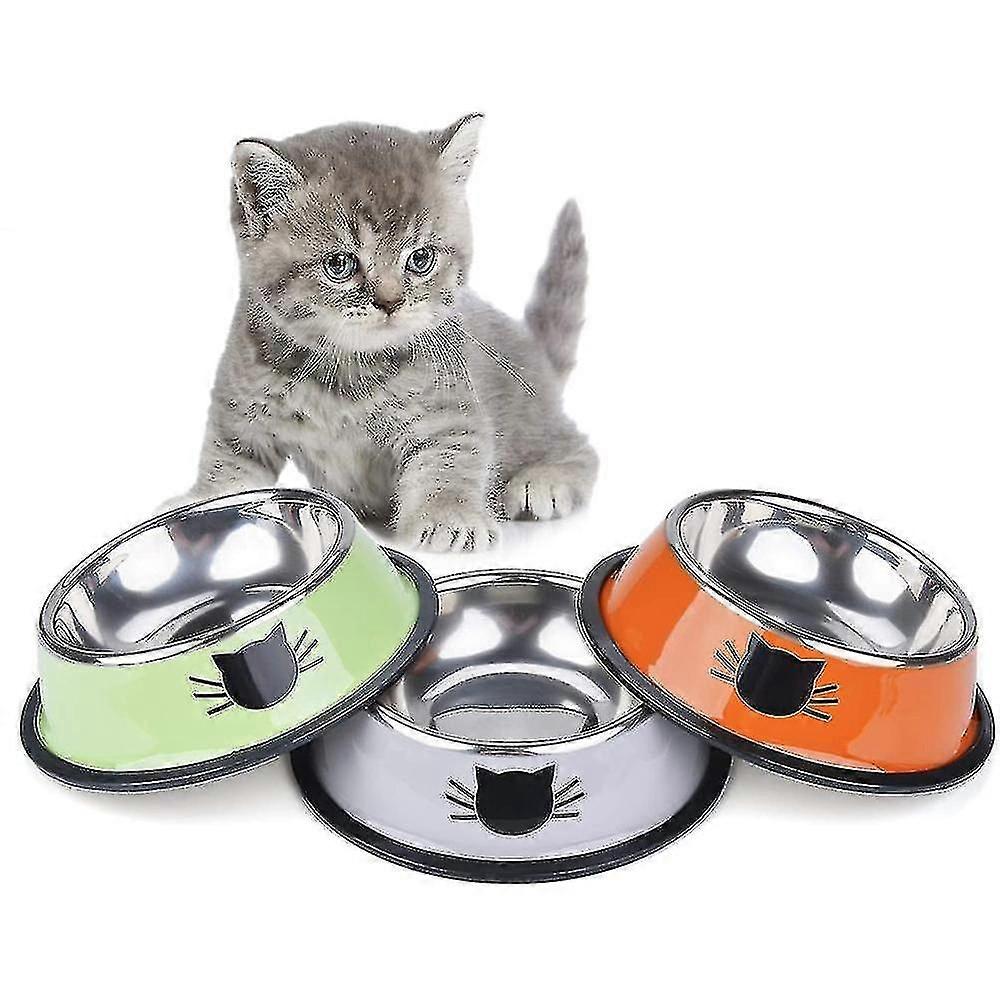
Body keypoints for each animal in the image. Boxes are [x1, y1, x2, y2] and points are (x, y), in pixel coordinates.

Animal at [177, 114, 597, 552]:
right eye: (340, 264)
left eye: (421, 258)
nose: (390, 301)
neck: (342, 373)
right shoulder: (239, 415)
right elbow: (228, 468)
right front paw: (202, 511)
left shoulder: (448, 414)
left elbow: (450, 461)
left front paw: (449, 517)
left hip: (533, 423)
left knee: (580, 448)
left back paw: (545, 480)